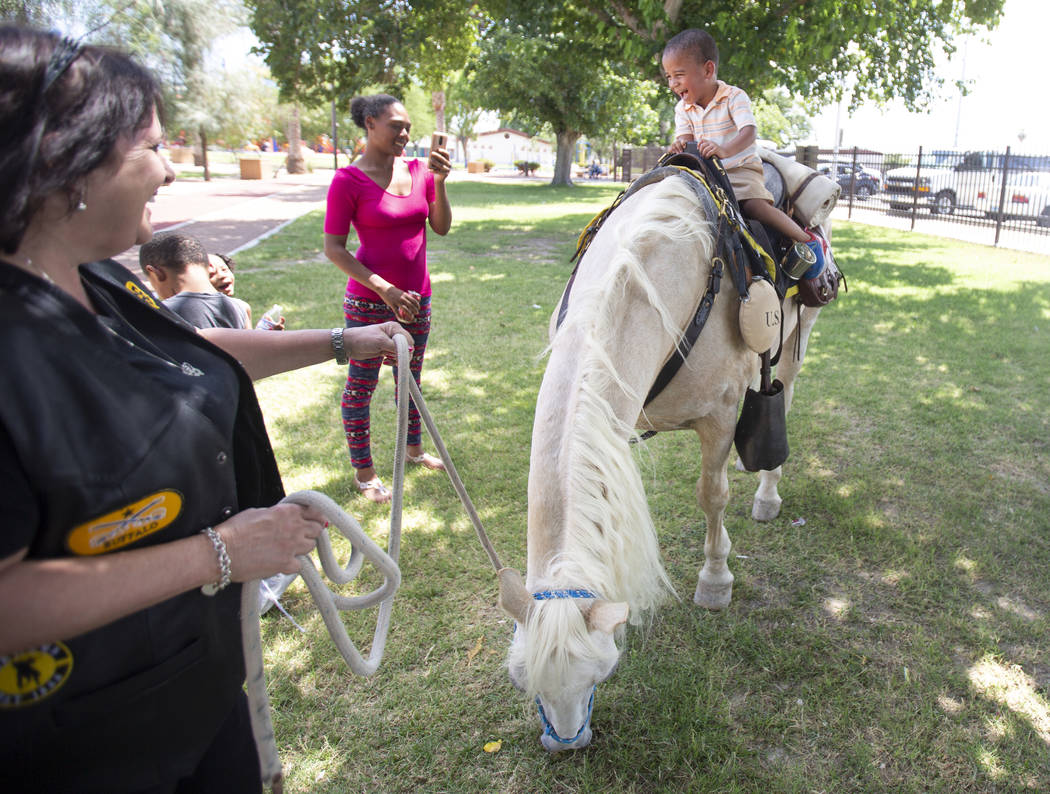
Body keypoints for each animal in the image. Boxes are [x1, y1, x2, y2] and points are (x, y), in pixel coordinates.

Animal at [495, 173, 831, 751]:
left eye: (602, 670)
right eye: (522, 679)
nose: (567, 744)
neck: (642, 283)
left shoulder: (719, 414)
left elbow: (712, 497)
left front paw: (715, 580)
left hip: (798, 334)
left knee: (782, 394)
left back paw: (767, 492)